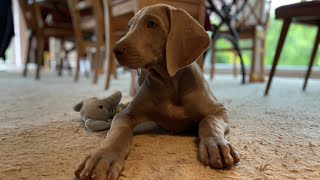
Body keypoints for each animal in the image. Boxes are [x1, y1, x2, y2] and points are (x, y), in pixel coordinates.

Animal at [75, 4, 240, 180]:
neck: (171, 82)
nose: (115, 50)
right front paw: (103, 156)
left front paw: (216, 144)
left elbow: (209, 122)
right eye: (129, 26)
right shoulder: (125, 115)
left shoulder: (218, 110)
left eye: (152, 24)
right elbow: (117, 133)